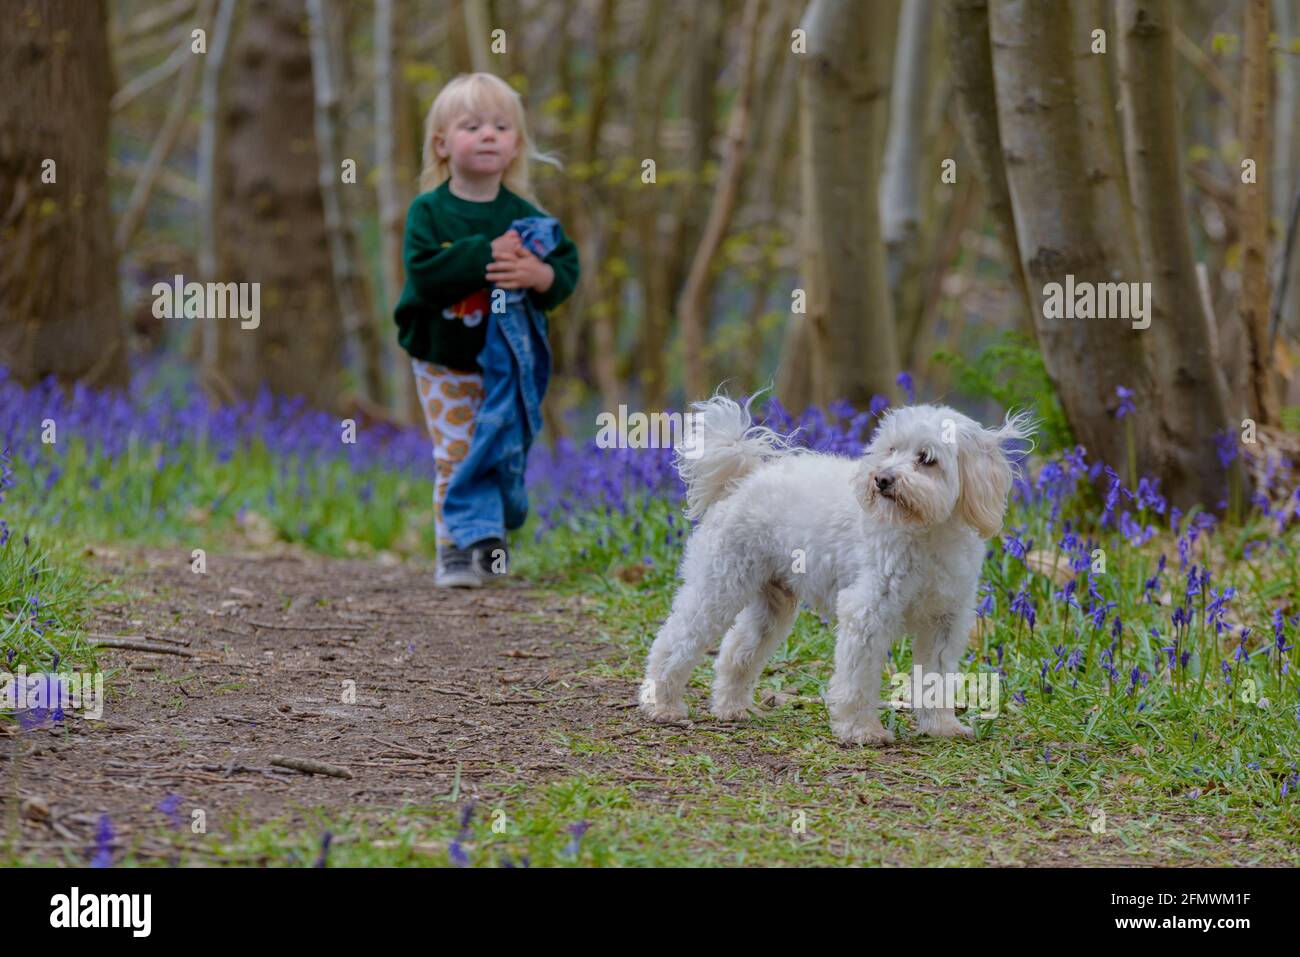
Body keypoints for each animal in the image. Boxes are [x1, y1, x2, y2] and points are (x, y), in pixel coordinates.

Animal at [639, 395, 1034, 748]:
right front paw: (861, 730)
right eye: (890, 449)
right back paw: (662, 704)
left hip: (772, 607)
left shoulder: (944, 622)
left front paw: (941, 726)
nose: (882, 479)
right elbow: (858, 680)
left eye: (926, 459)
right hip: (719, 587)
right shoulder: (867, 612)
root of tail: (743, 478)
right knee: (674, 641)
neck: (926, 531)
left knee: (736, 651)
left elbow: (935, 678)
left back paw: (732, 707)